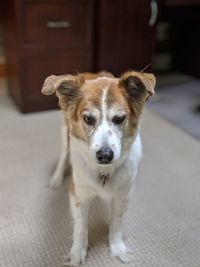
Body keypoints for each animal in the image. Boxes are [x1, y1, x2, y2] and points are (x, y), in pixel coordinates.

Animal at [41, 70, 155, 266]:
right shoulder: (78, 194)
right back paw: (56, 179)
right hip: (65, 134)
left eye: (119, 119)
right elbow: (80, 226)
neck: (104, 171)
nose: (105, 155)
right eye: (88, 119)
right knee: (63, 155)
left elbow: (117, 223)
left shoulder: (122, 195)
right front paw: (77, 252)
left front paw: (117, 249)